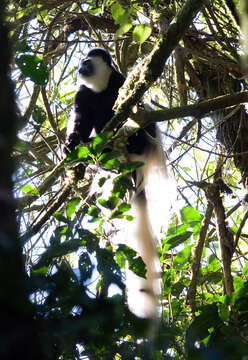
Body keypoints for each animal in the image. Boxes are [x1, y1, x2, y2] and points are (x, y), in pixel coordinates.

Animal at [64, 47, 169, 318]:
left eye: (87, 62)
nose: (81, 67)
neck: (100, 88)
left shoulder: (120, 82)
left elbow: (133, 99)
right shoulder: (83, 95)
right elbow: (80, 121)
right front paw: (70, 144)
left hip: (144, 141)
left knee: (143, 123)